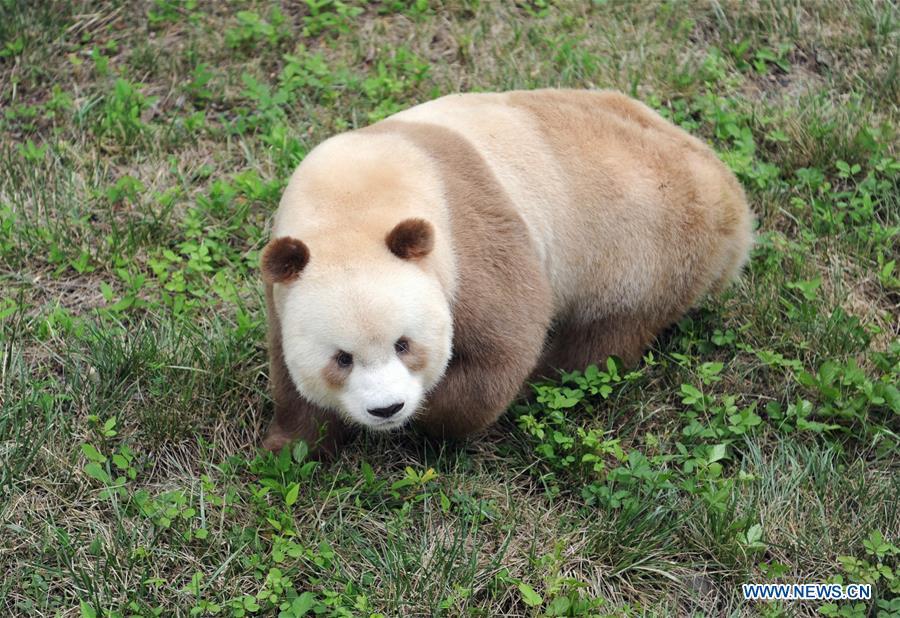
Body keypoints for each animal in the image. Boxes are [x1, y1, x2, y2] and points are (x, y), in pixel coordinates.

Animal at [260, 88, 752, 452]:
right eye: (341, 358)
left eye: (404, 344)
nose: (387, 409)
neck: (351, 204)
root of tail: (733, 203)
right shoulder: (284, 285)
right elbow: (287, 369)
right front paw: (290, 447)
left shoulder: (467, 236)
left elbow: (504, 342)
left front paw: (432, 415)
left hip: (645, 250)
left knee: (603, 338)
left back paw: (545, 378)